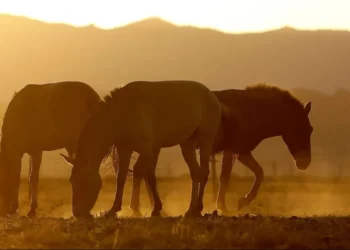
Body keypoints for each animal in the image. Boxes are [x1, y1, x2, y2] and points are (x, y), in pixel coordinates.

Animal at [0, 81, 118, 217]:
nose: (3, 211)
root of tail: (93, 99)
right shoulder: (28, 152)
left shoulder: (29, 151)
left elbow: (25, 179)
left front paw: (25, 209)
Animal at [60, 80, 224, 219]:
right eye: (71, 181)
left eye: (84, 181)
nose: (77, 213)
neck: (121, 113)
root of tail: (211, 94)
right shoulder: (124, 149)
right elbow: (121, 177)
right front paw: (114, 209)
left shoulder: (146, 149)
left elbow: (150, 176)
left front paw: (156, 209)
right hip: (187, 144)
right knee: (195, 173)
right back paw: (190, 210)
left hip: (205, 141)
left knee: (204, 173)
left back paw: (198, 208)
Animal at [124, 83, 314, 216]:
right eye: (300, 129)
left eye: (310, 129)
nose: (304, 163)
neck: (249, 110)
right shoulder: (233, 151)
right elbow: (226, 177)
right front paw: (225, 205)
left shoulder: (242, 151)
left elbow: (259, 173)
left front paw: (242, 201)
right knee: (141, 171)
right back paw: (142, 209)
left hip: (153, 147)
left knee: (140, 171)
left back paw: (145, 208)